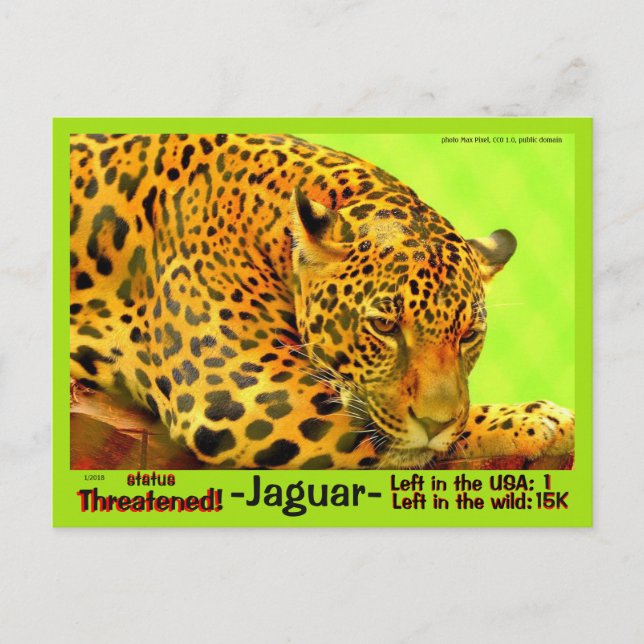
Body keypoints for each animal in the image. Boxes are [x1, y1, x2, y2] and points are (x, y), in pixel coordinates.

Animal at [69, 133, 574, 469]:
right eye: (384, 326)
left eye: (468, 335)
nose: (434, 422)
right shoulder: (246, 397)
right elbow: (400, 437)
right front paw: (534, 421)